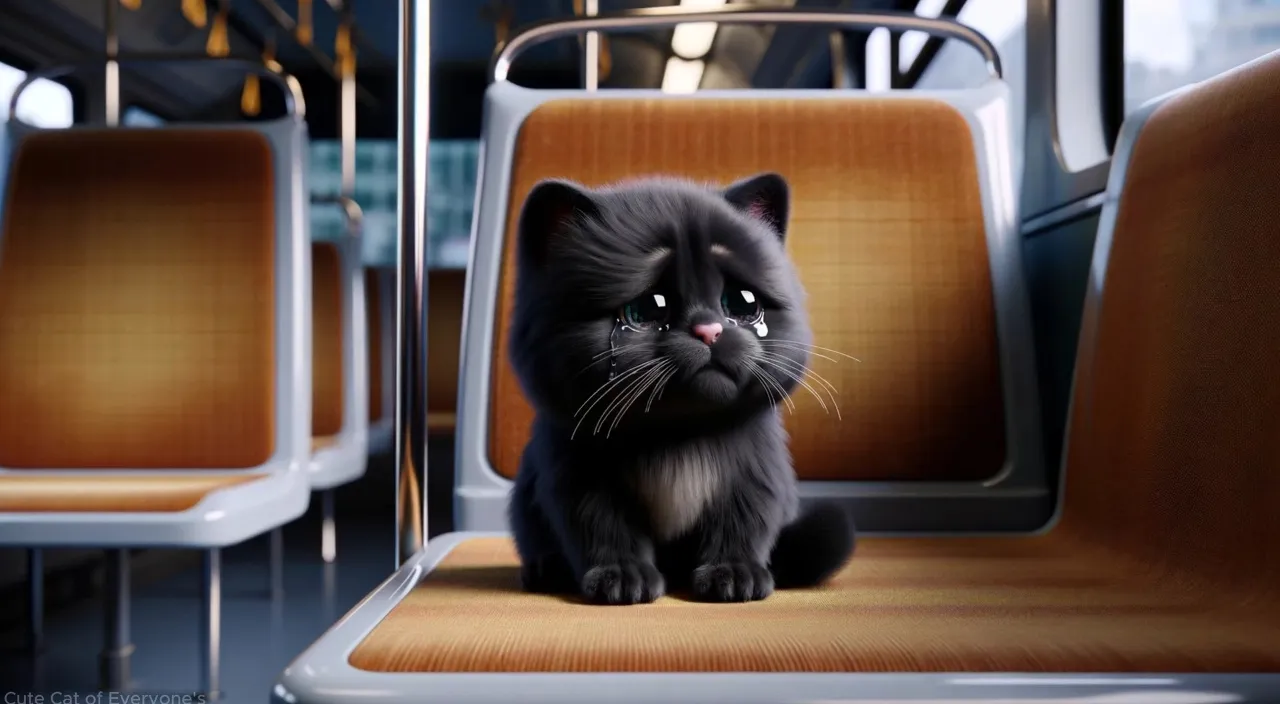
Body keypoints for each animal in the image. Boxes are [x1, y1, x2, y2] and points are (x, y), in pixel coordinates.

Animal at [504, 172, 855, 606]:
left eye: (743, 302)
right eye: (645, 309)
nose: (710, 330)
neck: (676, 435)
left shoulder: (754, 473)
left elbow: (743, 523)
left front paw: (733, 575)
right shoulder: (579, 478)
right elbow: (604, 529)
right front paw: (623, 579)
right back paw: (545, 571)